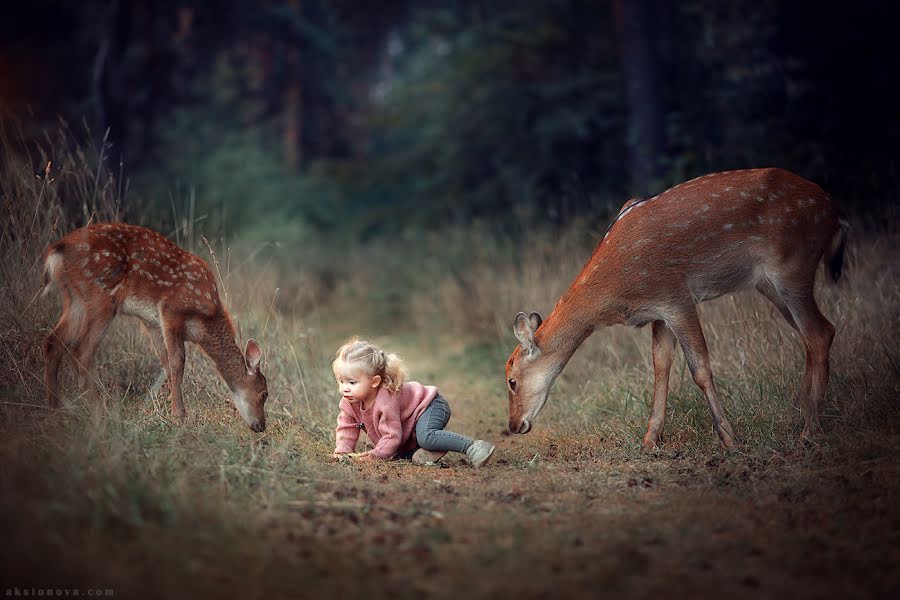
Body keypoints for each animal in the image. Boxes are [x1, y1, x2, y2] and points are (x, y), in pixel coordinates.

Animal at [42, 223, 268, 428]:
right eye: (264, 393)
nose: (261, 426)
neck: (205, 323)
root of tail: (57, 251)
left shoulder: (151, 322)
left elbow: (166, 362)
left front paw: (166, 408)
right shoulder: (171, 309)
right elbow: (177, 362)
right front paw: (179, 416)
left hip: (74, 299)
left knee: (53, 342)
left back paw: (56, 411)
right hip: (100, 296)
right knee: (82, 349)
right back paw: (98, 412)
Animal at [510, 166, 848, 448]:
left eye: (511, 380)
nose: (513, 425)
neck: (617, 291)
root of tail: (834, 212)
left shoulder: (677, 297)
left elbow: (700, 370)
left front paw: (730, 439)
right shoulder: (659, 312)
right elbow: (661, 367)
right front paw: (650, 440)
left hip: (792, 265)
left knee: (820, 333)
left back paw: (809, 430)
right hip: (769, 283)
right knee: (810, 335)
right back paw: (797, 414)